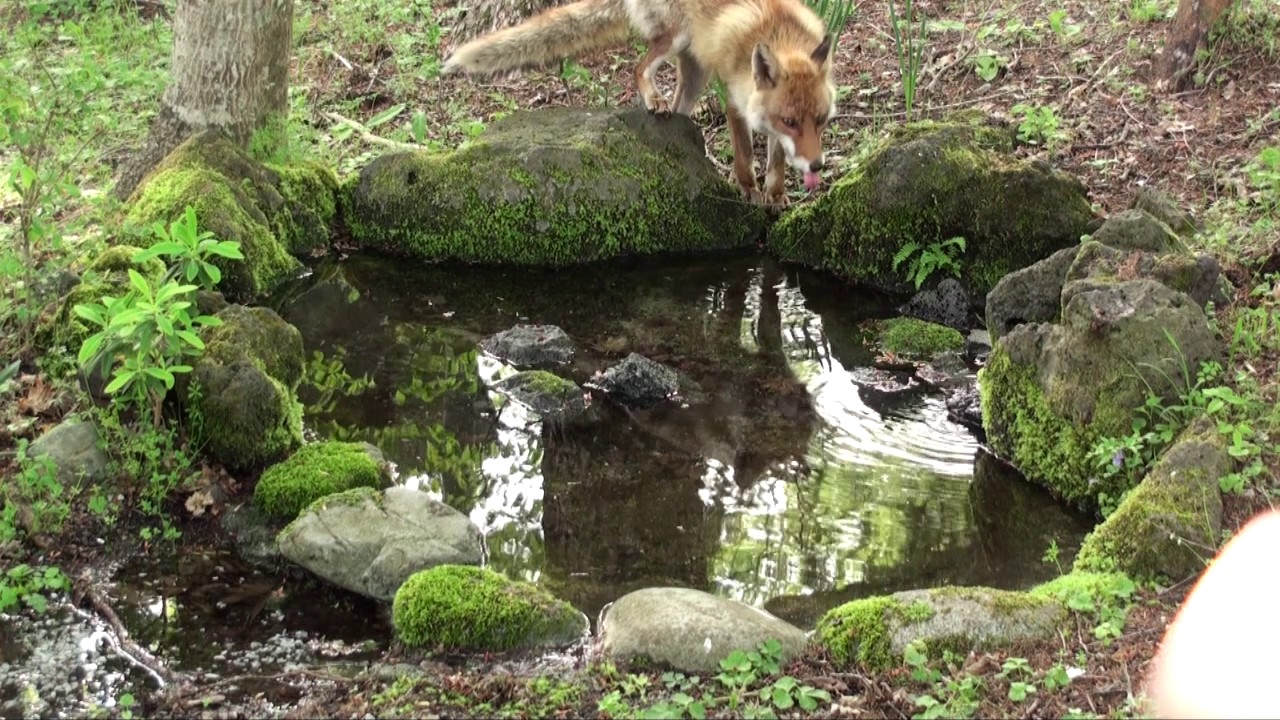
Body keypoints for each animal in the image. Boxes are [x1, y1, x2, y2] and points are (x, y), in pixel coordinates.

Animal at [441, 0, 838, 208]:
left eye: (820, 120)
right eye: (790, 121)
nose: (817, 165)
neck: (777, 33)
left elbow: (776, 161)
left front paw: (776, 194)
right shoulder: (736, 99)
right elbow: (744, 155)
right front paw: (748, 189)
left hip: (695, 74)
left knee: (680, 111)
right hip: (674, 39)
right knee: (638, 67)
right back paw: (652, 99)